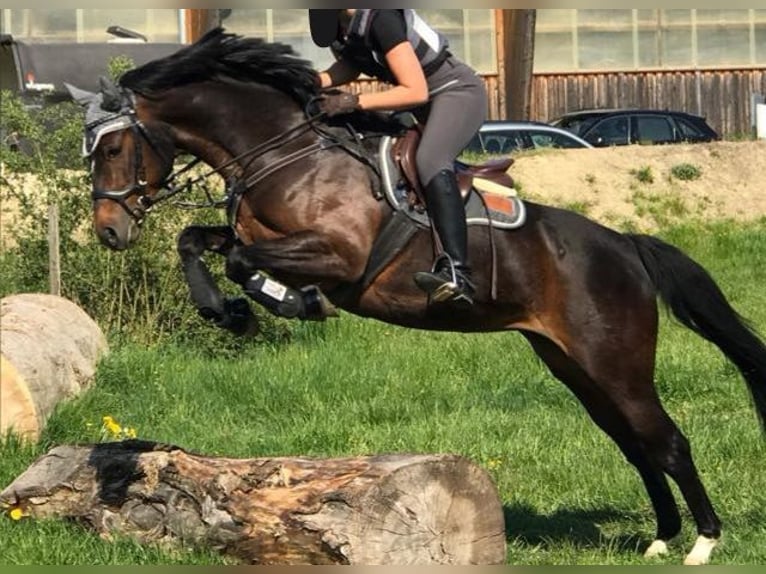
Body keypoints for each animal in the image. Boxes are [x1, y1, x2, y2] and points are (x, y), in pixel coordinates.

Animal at [67, 29, 766, 564]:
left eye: (115, 146)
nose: (109, 231)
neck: (284, 154)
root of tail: (623, 244)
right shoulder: (254, 234)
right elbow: (196, 241)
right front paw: (226, 310)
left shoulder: (339, 255)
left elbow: (242, 260)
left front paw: (291, 301)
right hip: (575, 367)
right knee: (635, 443)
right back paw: (661, 539)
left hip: (616, 362)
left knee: (666, 440)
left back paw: (702, 543)